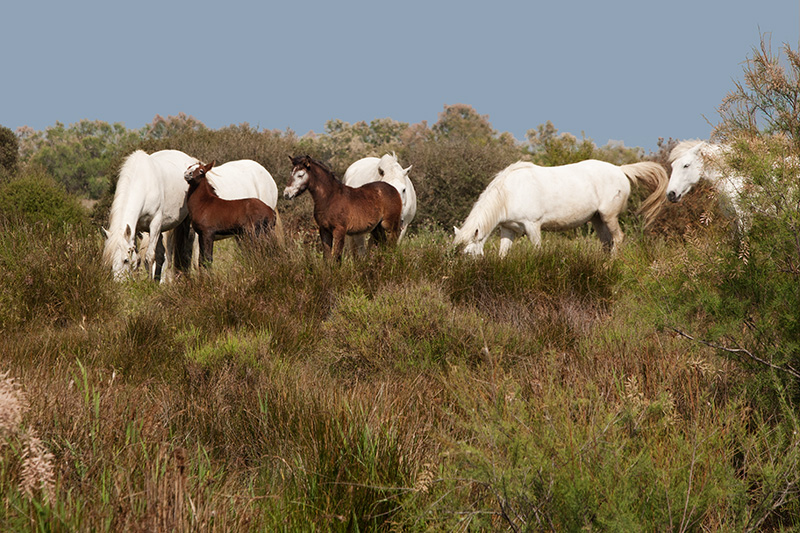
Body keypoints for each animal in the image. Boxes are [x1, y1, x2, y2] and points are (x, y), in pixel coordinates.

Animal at [103, 148, 278, 280]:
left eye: (125, 260)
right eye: (108, 261)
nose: (120, 286)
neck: (144, 182)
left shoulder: (157, 225)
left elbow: (155, 256)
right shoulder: (141, 228)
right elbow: (158, 256)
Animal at [450, 159, 668, 255]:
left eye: (467, 253)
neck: (509, 193)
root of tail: (620, 169)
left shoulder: (533, 226)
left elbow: (537, 250)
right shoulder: (508, 229)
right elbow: (503, 254)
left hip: (609, 216)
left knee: (618, 238)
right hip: (597, 219)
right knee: (607, 242)